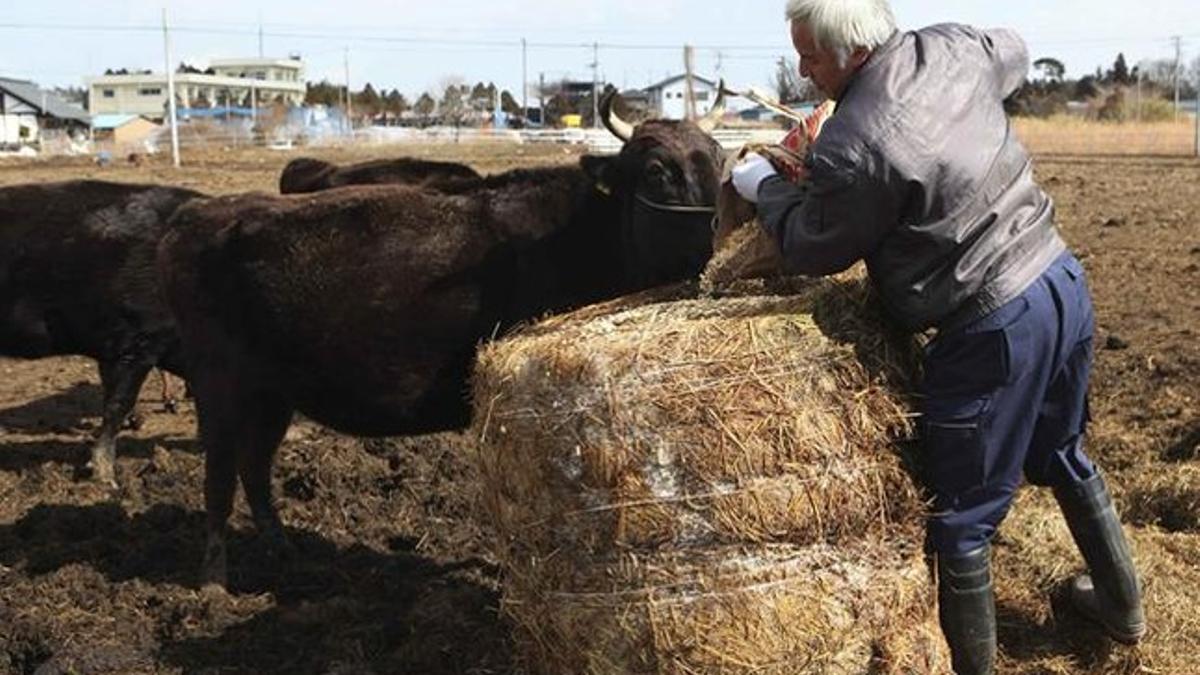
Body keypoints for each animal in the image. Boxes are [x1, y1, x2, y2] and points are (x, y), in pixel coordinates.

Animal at [156, 89, 724, 583]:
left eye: (719, 158)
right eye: (657, 171)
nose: (719, 225)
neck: (581, 234)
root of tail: (195, 216)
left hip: (272, 393)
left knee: (254, 467)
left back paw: (286, 553)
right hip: (219, 384)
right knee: (219, 475)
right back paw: (214, 581)